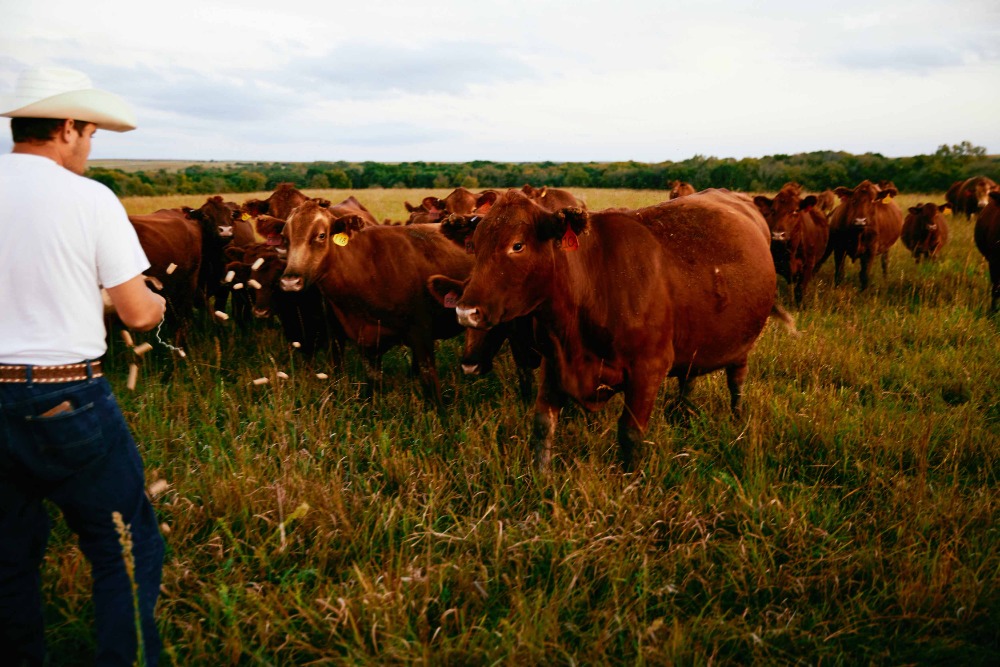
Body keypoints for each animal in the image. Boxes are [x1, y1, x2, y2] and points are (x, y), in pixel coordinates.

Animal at [277, 200, 475, 403]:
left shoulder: (422, 334)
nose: (290, 281)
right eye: (285, 238)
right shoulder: (366, 342)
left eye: (321, 235)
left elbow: (430, 383)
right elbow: (373, 385)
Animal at [438, 188, 790, 471]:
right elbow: (542, 425)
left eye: (517, 245)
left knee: (737, 382)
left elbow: (630, 435)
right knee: (689, 379)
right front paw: (541, 480)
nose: (466, 311)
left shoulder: (648, 370)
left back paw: (736, 419)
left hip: (742, 345)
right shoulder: (554, 362)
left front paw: (631, 483)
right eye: (474, 245)